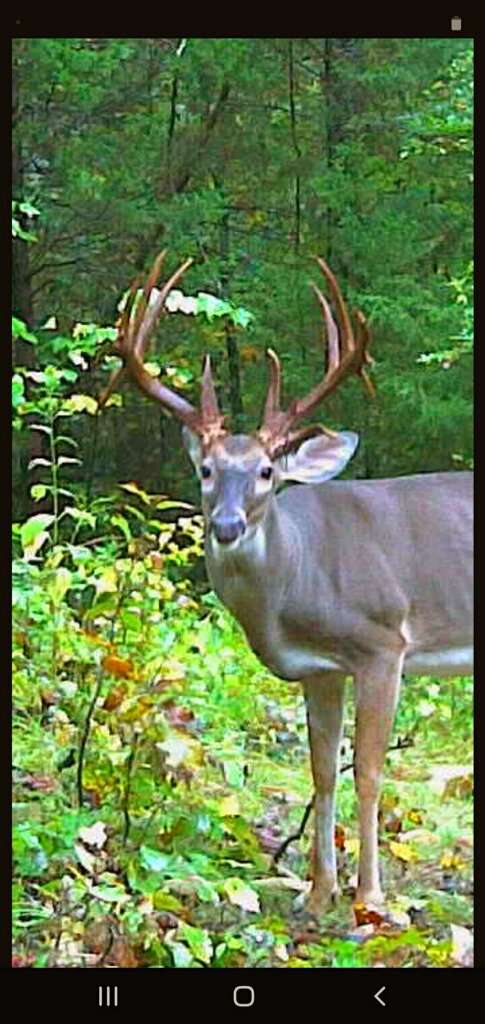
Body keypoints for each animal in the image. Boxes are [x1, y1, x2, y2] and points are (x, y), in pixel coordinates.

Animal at [99, 249, 472, 921]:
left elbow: (368, 771)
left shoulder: (384, 643)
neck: (298, 582)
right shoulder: (320, 670)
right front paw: (318, 892)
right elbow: (321, 771)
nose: (226, 525)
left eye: (268, 471)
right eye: (206, 469)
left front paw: (371, 899)